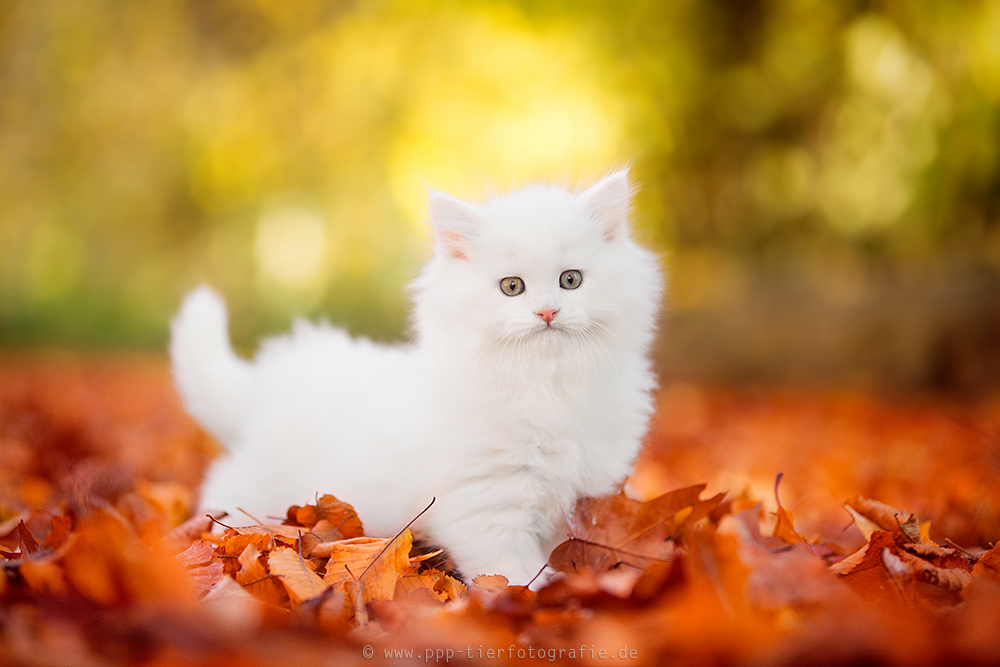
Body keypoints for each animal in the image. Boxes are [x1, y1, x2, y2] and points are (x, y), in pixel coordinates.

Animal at [170, 170, 664, 588]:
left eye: (571, 280)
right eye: (512, 287)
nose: (547, 312)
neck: (545, 383)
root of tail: (265, 384)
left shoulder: (581, 498)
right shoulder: (486, 508)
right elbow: (514, 576)